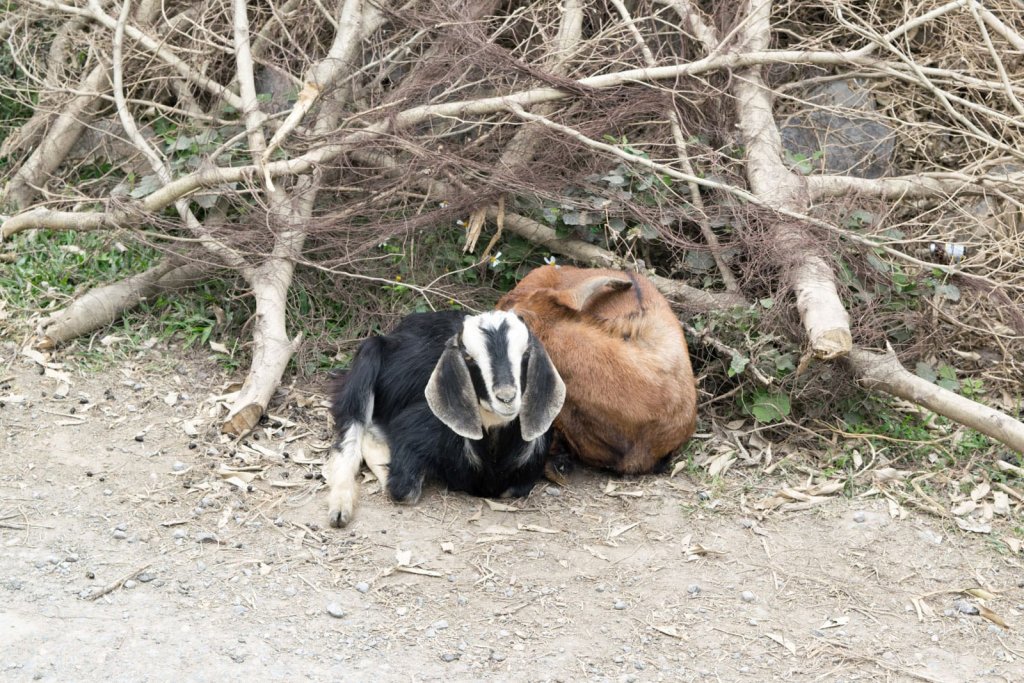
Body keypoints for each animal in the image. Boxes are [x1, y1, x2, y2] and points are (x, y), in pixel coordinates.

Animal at [323, 309, 565, 528]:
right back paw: (340, 509)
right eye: (468, 358)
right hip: (368, 356)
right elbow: (401, 490)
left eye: (525, 355)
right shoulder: (413, 428)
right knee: (352, 427)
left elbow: (514, 488)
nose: (506, 397)